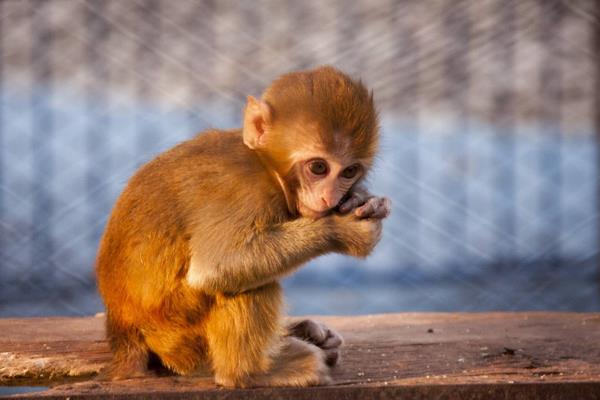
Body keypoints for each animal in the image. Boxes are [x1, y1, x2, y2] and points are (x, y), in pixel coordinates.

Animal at [96, 66, 392, 388]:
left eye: (349, 172)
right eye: (318, 167)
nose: (330, 196)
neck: (268, 169)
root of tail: (124, 330)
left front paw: (362, 201)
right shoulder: (242, 192)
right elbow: (215, 266)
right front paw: (344, 231)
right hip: (174, 332)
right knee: (245, 285)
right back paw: (249, 372)